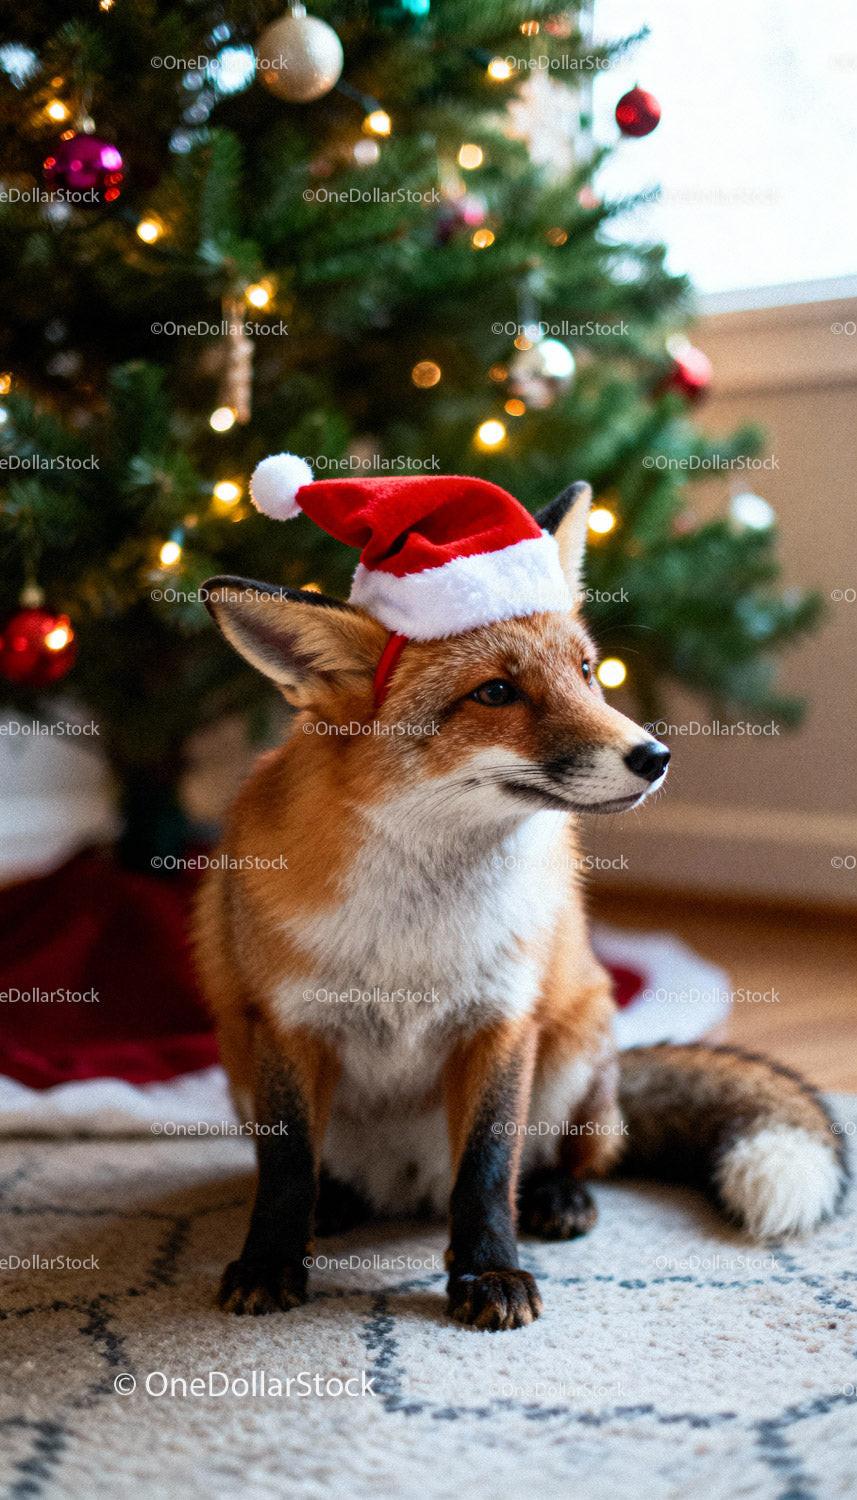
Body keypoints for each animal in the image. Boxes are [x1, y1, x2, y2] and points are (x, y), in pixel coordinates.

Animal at [194, 478, 847, 1331]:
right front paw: (271, 1260)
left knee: (577, 1157)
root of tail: (408, 1190)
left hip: (574, 1051)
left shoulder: (500, 1021)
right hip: (239, 1069)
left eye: (587, 671)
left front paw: (490, 1272)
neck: (417, 931)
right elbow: (284, 1170)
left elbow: (486, 1169)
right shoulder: (286, 1022)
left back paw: (556, 1197)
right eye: (496, 692)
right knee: (325, 1172)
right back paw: (334, 1206)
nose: (654, 756)